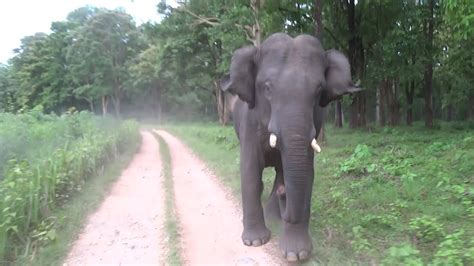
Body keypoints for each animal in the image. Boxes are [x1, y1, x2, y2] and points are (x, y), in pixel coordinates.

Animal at [220, 32, 362, 260]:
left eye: (318, 89)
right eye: (267, 87)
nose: (282, 192)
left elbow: (307, 173)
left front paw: (297, 254)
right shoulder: (249, 122)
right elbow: (250, 169)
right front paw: (255, 242)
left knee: (281, 170)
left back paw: (274, 215)